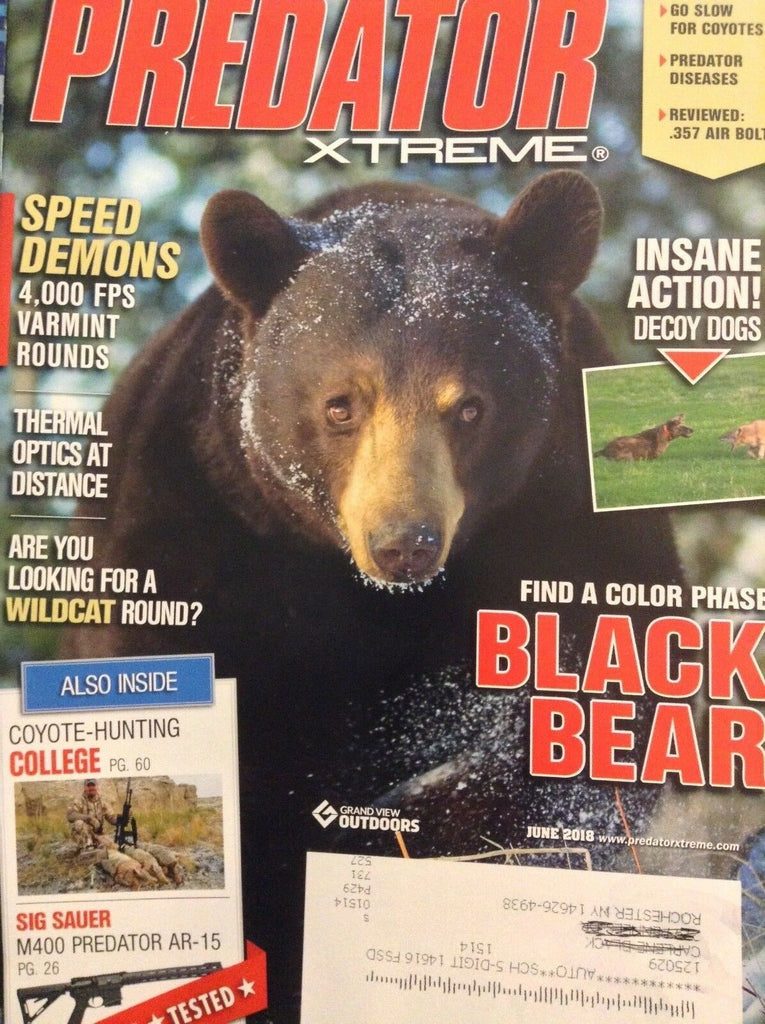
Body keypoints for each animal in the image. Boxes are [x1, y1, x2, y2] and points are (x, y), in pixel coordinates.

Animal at [63, 171, 682, 1022]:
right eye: (339, 404)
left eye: (470, 406)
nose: (403, 542)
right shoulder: (197, 522)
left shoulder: (561, 515)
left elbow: (598, 713)